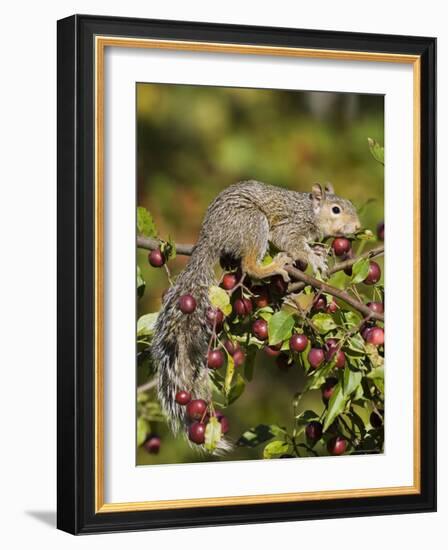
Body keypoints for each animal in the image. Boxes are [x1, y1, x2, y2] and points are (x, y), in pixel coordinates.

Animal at [151, 181, 360, 452]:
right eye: (336, 209)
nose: (357, 227)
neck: (310, 211)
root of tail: (209, 236)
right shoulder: (290, 226)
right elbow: (289, 241)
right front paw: (314, 258)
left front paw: (318, 250)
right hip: (253, 223)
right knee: (249, 265)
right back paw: (273, 266)